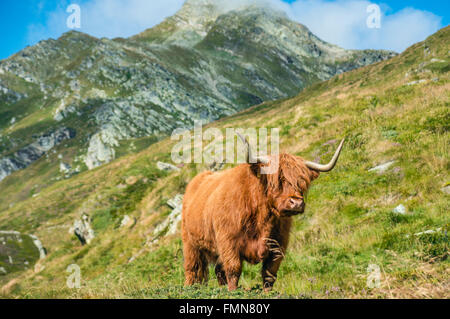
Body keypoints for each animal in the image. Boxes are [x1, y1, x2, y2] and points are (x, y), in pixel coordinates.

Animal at [182, 134, 344, 292]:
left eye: (302, 182)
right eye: (278, 180)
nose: (296, 203)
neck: (262, 218)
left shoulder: (278, 246)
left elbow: (269, 275)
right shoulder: (228, 243)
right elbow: (234, 271)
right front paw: (233, 293)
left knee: (218, 271)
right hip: (191, 245)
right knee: (193, 270)